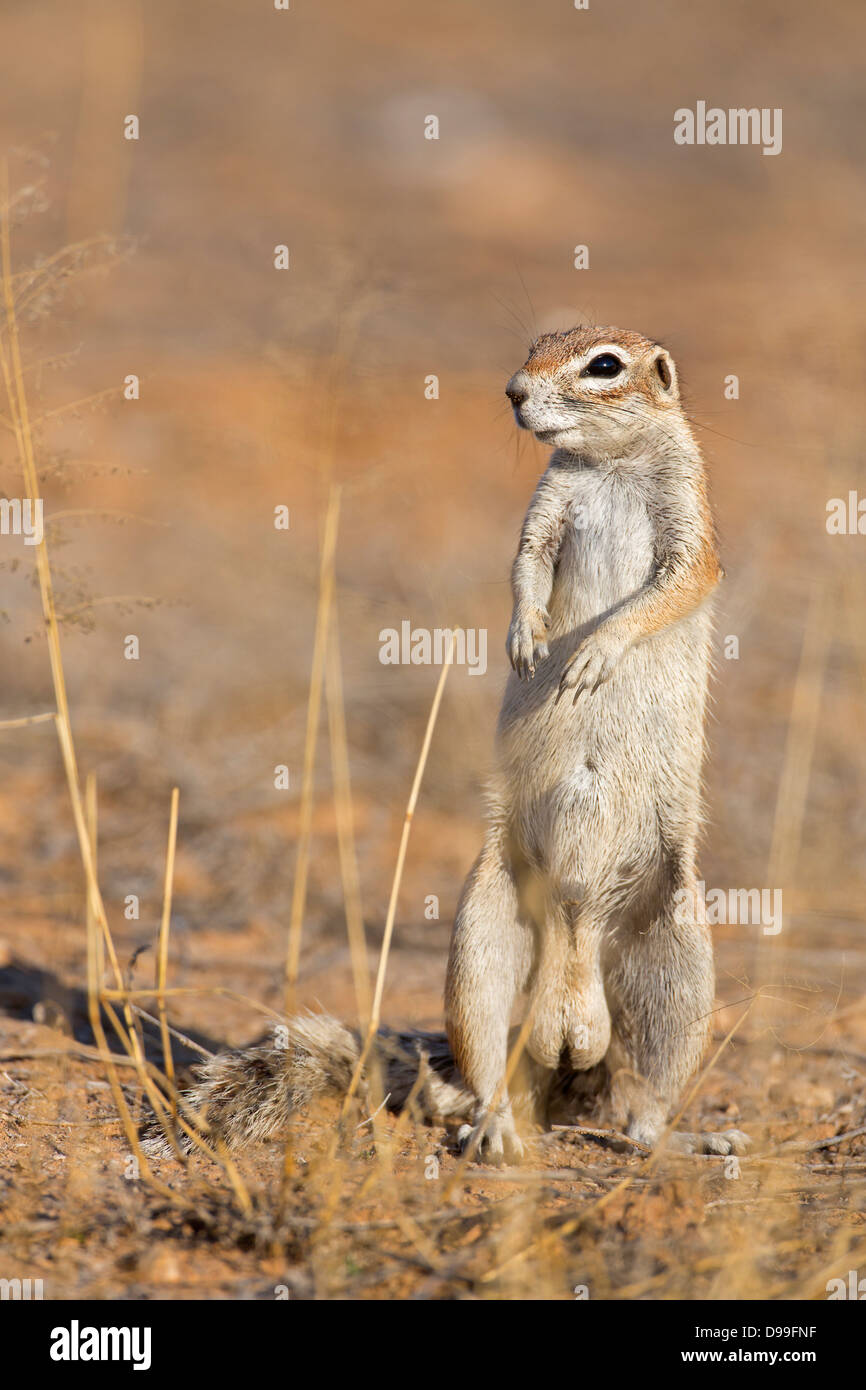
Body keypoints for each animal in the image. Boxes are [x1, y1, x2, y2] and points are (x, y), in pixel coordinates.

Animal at [142, 330, 745, 1167]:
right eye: (534, 345)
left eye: (604, 365)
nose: (514, 392)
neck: (608, 464)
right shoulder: (545, 509)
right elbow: (525, 567)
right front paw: (526, 639)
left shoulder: (689, 514)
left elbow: (678, 582)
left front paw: (596, 652)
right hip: (481, 936)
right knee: (488, 1061)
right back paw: (494, 1126)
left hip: (678, 956)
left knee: (641, 1099)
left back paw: (680, 1139)